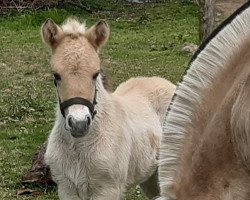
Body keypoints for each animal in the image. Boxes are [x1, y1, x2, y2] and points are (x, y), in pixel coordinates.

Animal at [41, 18, 175, 199]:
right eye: (56, 75)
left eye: (95, 74)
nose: (79, 123)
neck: (78, 148)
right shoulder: (66, 189)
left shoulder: (107, 189)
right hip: (150, 176)